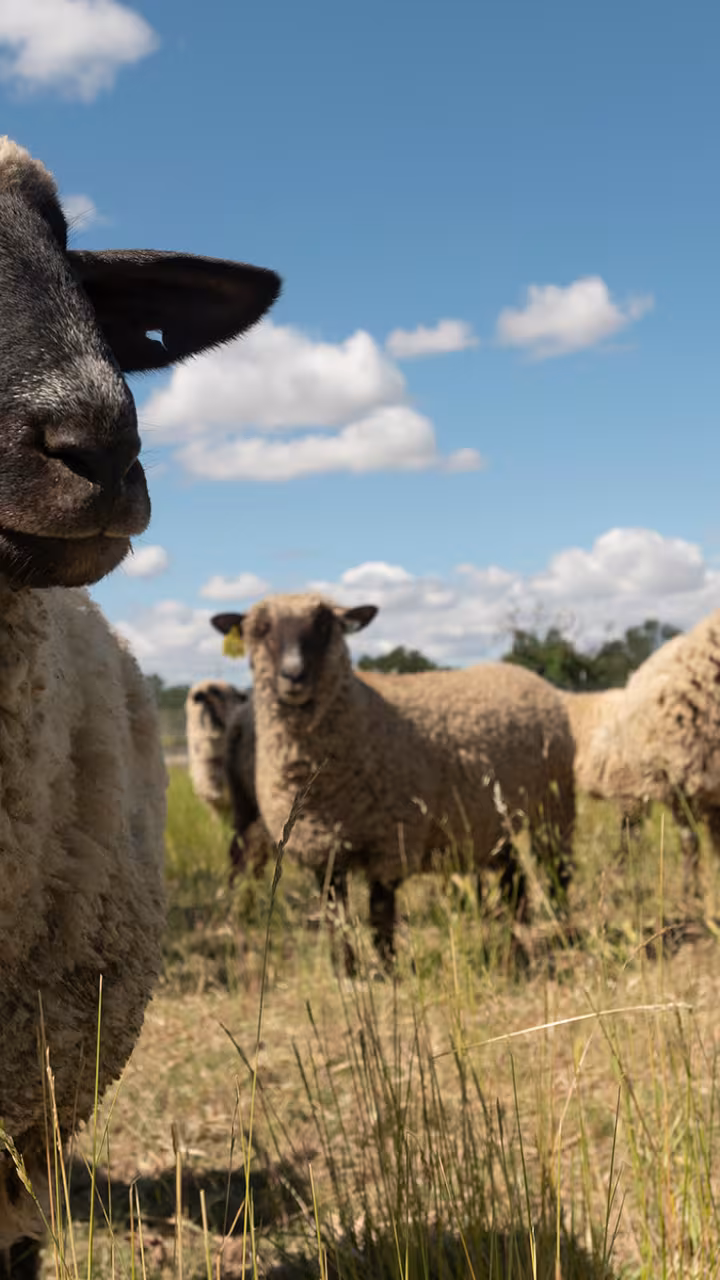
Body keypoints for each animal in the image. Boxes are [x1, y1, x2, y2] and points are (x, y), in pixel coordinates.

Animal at [211, 594, 576, 972]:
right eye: (260, 629)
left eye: (325, 625)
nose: (293, 674)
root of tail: (523, 673)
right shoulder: (320, 849)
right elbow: (335, 916)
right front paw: (347, 970)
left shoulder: (392, 840)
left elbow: (380, 914)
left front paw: (387, 970)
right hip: (496, 820)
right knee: (514, 879)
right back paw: (514, 945)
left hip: (555, 804)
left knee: (557, 869)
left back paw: (562, 929)